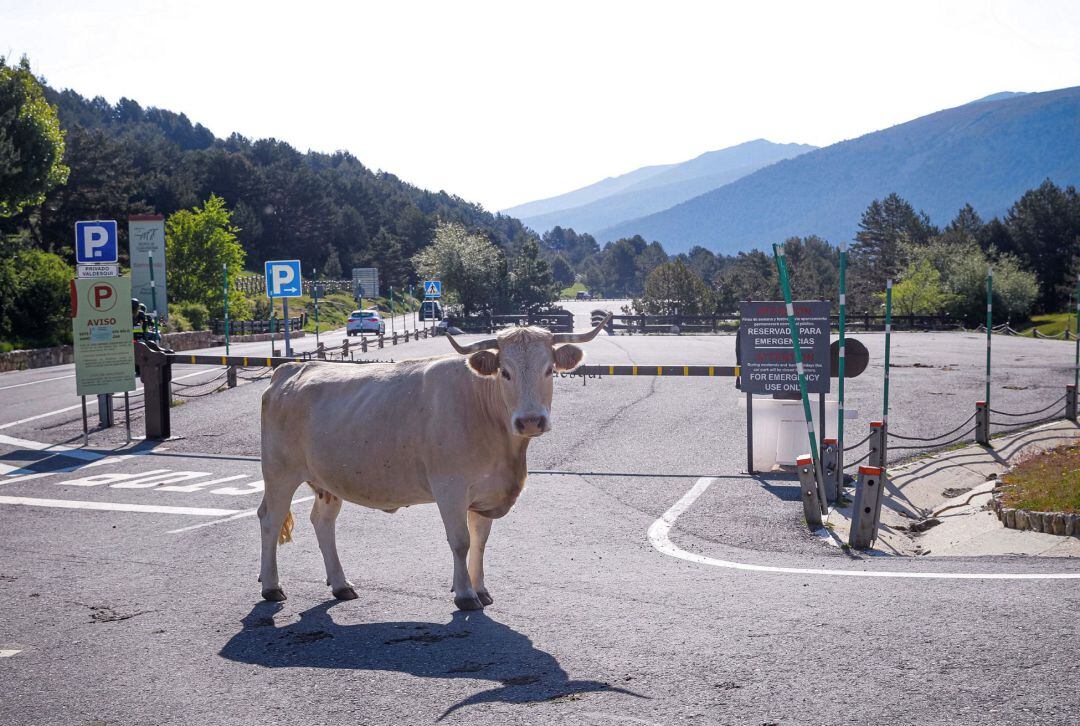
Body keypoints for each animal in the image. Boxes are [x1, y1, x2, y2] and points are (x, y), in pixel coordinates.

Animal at [256, 314, 609, 610]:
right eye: (505, 372)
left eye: (549, 370)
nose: (531, 421)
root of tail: (290, 369)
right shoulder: (450, 488)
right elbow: (460, 541)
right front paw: (465, 595)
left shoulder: (485, 492)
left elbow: (480, 541)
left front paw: (480, 589)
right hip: (279, 472)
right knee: (270, 519)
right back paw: (271, 587)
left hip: (327, 479)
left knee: (322, 521)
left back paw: (341, 585)